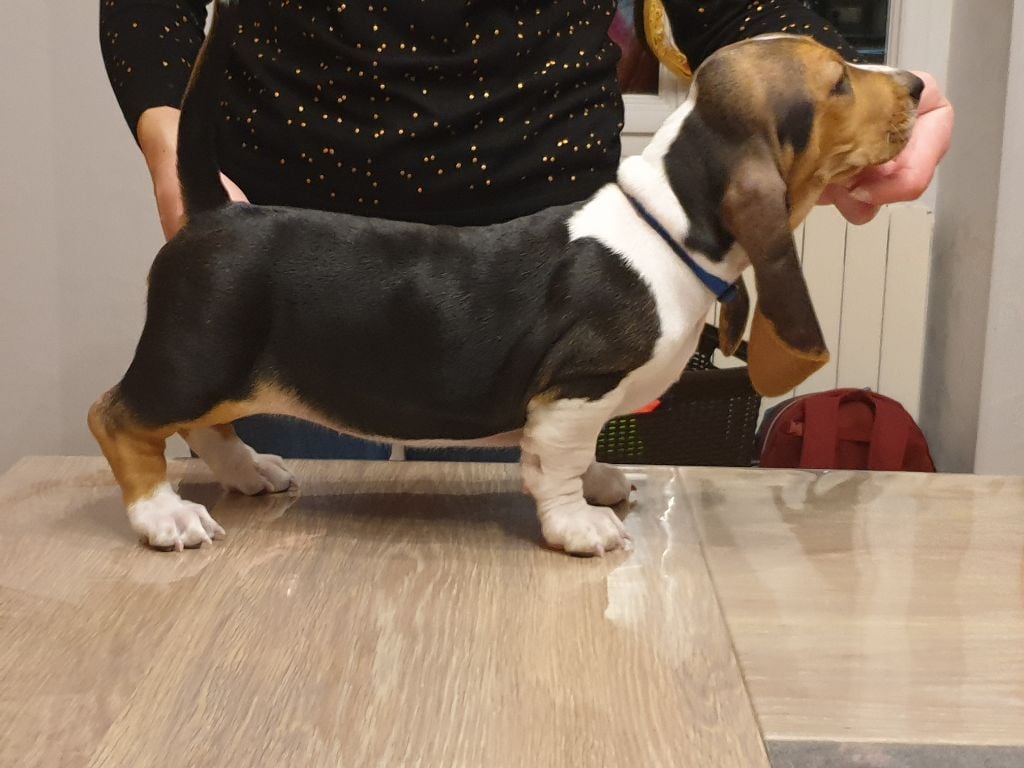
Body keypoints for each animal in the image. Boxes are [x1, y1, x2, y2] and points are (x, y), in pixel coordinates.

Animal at [89, 0, 922, 556]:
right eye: (838, 84)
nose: (917, 86)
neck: (668, 224)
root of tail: (213, 211)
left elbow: (582, 456)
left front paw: (602, 482)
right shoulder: (573, 390)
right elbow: (555, 465)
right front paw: (581, 524)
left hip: (216, 367)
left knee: (204, 426)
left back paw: (248, 471)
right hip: (195, 355)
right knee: (121, 419)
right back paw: (162, 514)